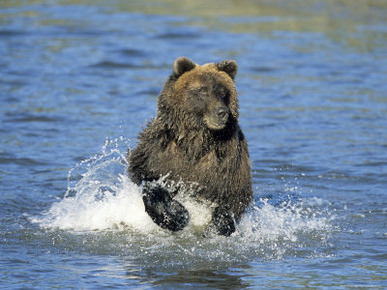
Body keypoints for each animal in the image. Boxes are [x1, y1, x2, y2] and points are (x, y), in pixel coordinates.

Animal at [129, 56, 253, 236]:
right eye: (202, 90)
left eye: (223, 91)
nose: (222, 112)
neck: (197, 141)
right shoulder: (159, 152)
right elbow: (148, 179)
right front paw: (176, 215)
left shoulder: (229, 161)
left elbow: (235, 196)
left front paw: (217, 226)